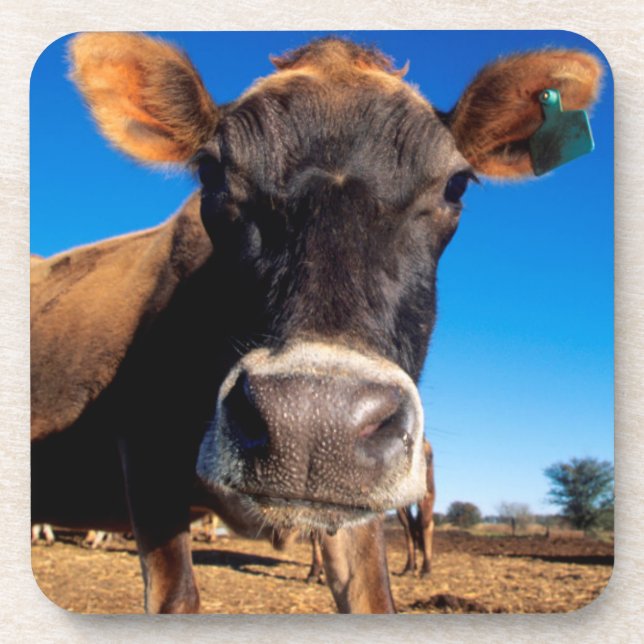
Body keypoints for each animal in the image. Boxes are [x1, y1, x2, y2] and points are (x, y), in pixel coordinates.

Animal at [31, 33, 601, 613]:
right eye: (211, 171)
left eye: (456, 185)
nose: (312, 421)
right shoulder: (145, 451)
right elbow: (177, 599)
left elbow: (373, 597)